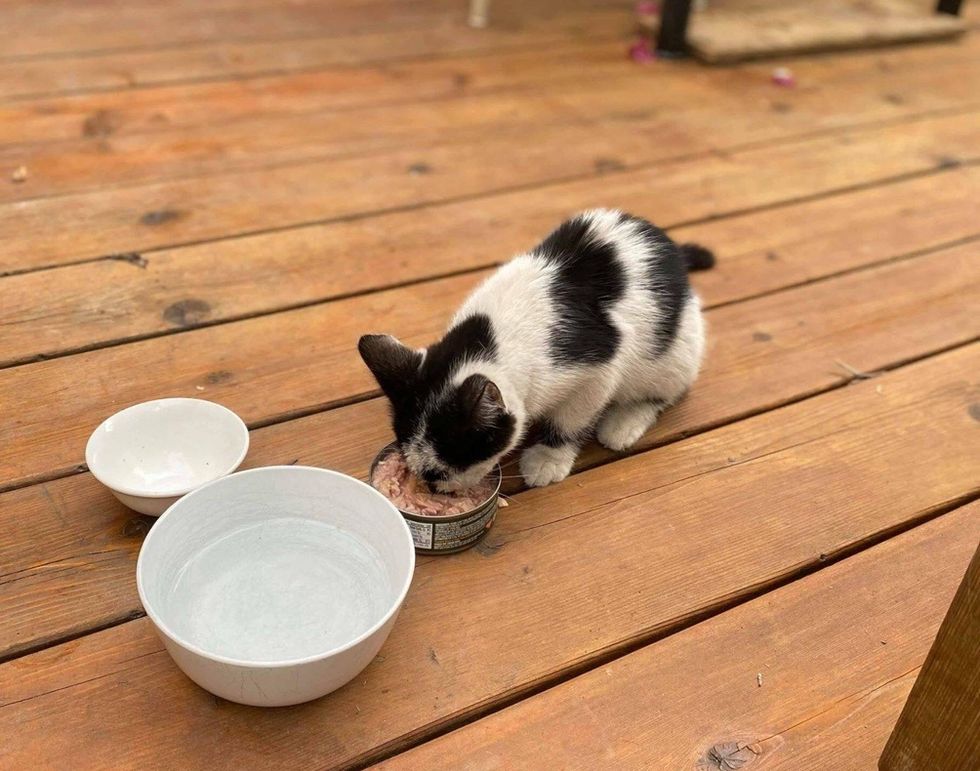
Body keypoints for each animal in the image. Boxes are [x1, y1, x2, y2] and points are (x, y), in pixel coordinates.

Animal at [358, 208, 712, 492]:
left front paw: (548, 458)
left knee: (665, 390)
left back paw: (623, 422)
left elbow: (571, 418)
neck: (491, 338)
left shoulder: (599, 367)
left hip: (674, 353)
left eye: (439, 473)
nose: (432, 490)